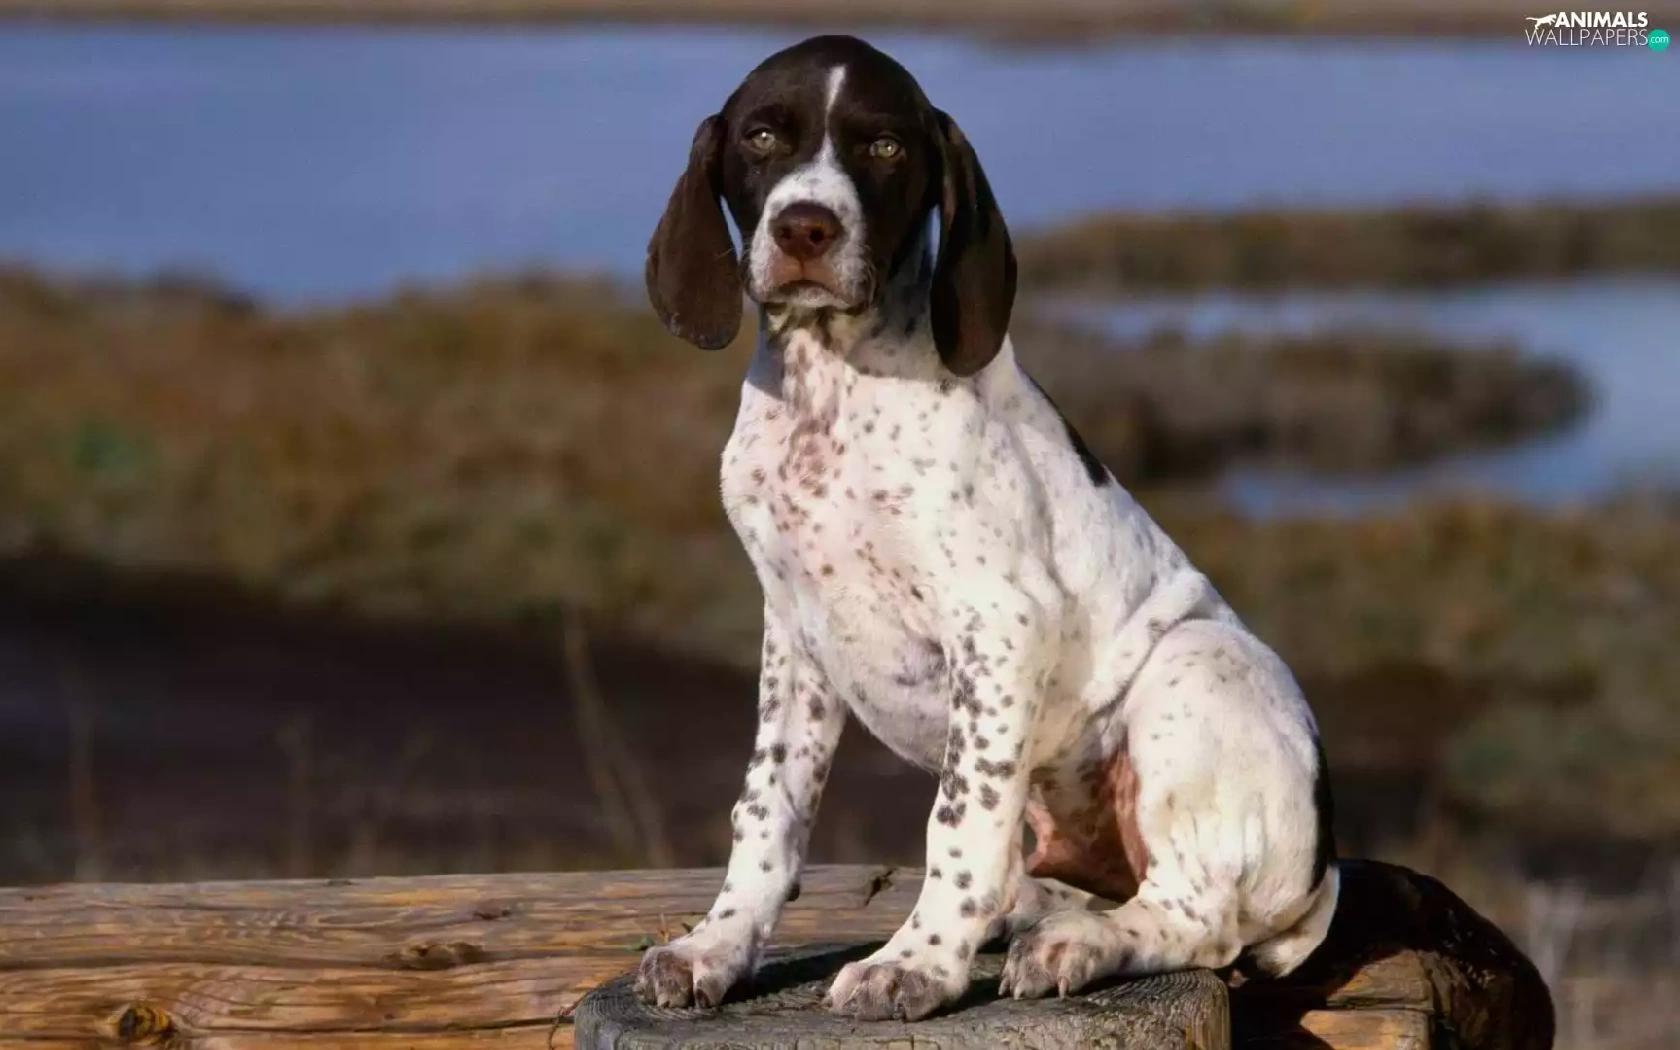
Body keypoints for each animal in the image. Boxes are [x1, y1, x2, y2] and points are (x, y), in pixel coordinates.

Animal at [634, 34, 1338, 1022]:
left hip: (1195, 665)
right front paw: (717, 945)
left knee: (1194, 917)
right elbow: (766, 809)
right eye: (763, 137)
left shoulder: (1000, 621)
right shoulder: (796, 633)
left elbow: (958, 818)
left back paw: (1073, 944)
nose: (806, 228)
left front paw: (915, 964)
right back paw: (1034, 916)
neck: (830, 386)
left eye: (885, 148)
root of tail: (1324, 877)